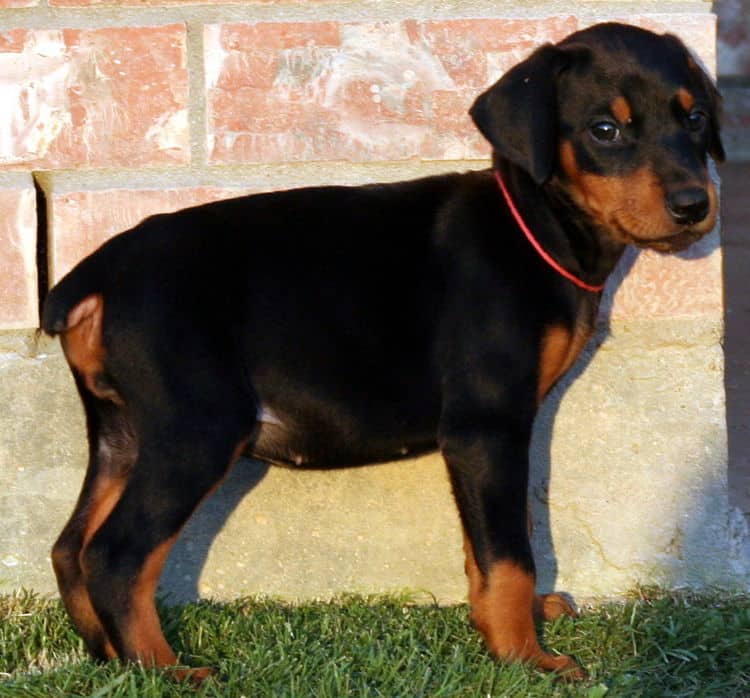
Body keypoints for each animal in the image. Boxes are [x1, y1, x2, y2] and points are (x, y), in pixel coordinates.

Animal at [41, 23, 724, 680]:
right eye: (605, 130)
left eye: (694, 119)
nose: (695, 205)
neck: (535, 224)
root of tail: (97, 274)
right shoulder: (487, 424)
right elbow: (509, 553)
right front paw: (526, 658)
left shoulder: (495, 436)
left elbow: (496, 540)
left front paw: (512, 624)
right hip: (197, 427)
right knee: (116, 555)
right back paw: (163, 670)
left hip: (125, 432)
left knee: (70, 546)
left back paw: (105, 655)